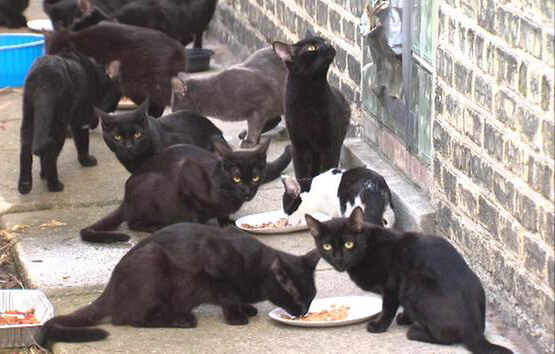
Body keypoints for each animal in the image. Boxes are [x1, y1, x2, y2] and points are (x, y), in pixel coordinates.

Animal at [18, 50, 120, 194]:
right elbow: (83, 143)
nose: (113, 110)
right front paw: (87, 161)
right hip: (59, 125)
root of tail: (44, 75)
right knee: (50, 157)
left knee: (26, 154)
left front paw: (42, 175)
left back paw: (25, 186)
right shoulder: (81, 118)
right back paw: (55, 186)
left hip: (29, 118)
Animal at [81, 139, 296, 243]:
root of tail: (124, 200)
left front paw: (227, 223)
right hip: (148, 186)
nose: (247, 191)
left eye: (255, 178)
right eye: (236, 178)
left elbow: (223, 215)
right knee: (131, 222)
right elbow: (193, 212)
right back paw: (155, 226)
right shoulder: (188, 172)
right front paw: (201, 227)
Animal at [306, 207, 516, 354]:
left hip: (413, 281)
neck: (367, 249)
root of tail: (473, 327)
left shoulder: (392, 284)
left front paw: (379, 325)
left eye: (349, 244)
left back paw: (415, 332)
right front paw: (405, 317)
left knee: (446, 337)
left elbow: (388, 308)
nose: (338, 258)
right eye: (327, 246)